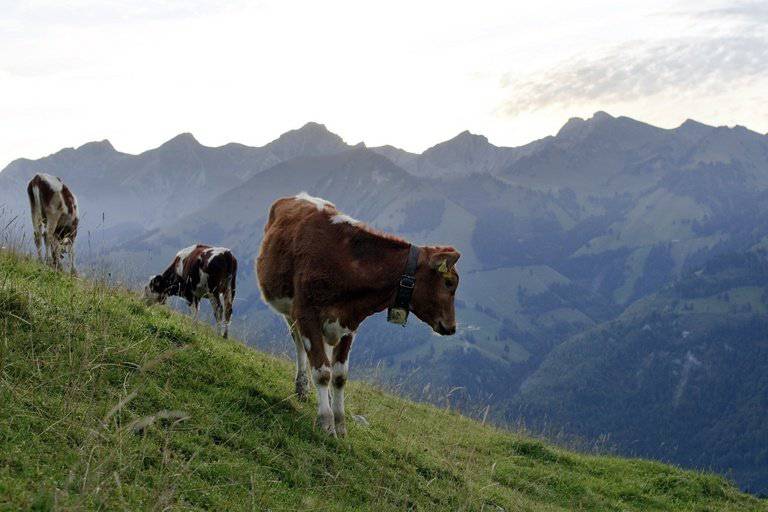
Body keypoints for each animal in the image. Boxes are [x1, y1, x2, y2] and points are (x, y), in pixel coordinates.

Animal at [255, 193, 460, 436]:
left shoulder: (349, 323)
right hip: (288, 309)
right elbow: (322, 371)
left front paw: (341, 424)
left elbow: (339, 375)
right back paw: (302, 387)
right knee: (299, 344)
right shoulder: (305, 313)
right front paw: (326, 423)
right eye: (449, 283)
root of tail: (298, 196)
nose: (451, 327)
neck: (347, 263)